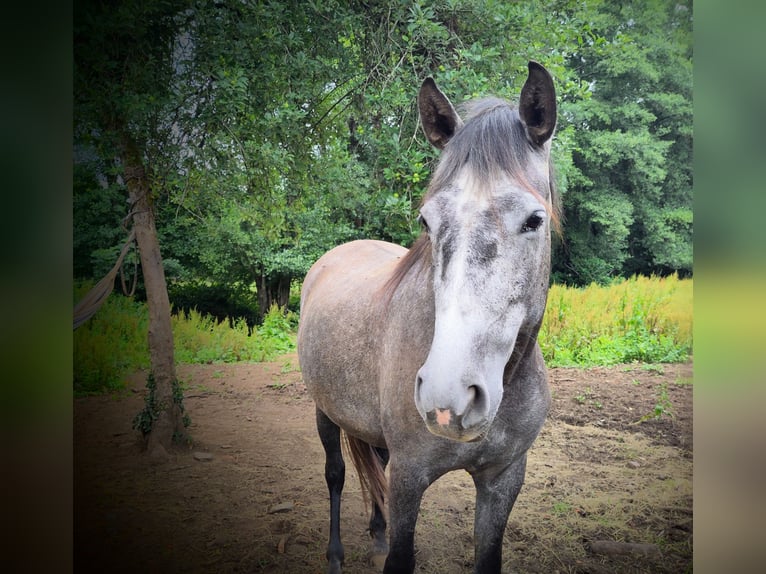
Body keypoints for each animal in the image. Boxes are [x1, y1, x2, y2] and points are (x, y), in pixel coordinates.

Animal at [298, 60, 560, 572]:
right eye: (426, 221)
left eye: (534, 220)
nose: (448, 397)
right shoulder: (409, 478)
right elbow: (399, 555)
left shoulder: (504, 480)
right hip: (325, 412)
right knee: (336, 475)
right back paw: (335, 554)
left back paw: (376, 533)